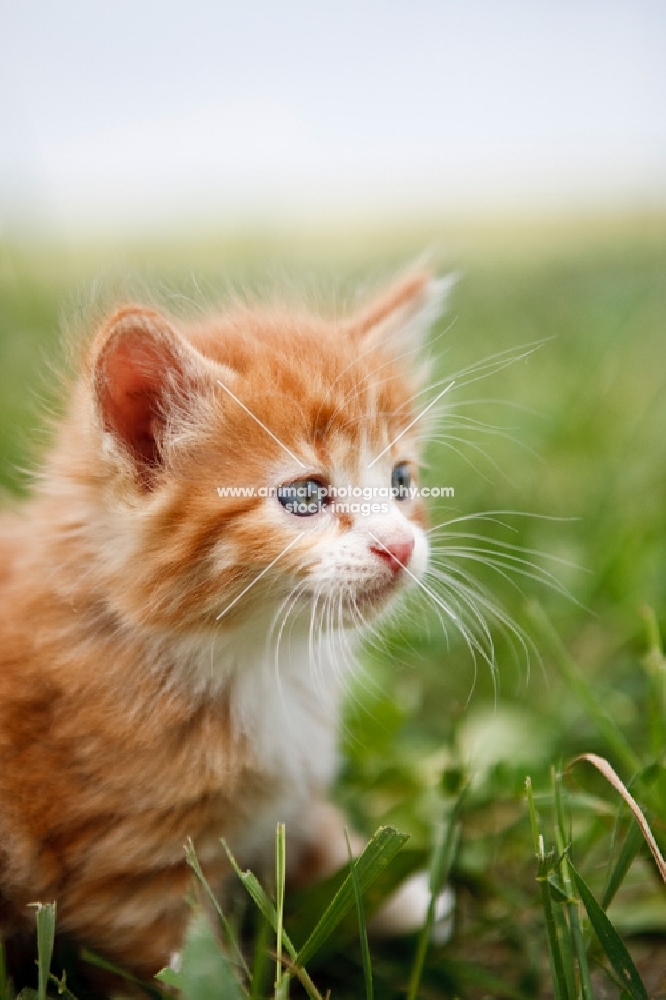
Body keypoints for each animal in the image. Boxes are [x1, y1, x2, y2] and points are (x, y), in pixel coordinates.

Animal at [0, 270, 452, 980]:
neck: (255, 658)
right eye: (304, 497)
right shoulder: (131, 874)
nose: (400, 546)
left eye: (402, 480)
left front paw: (388, 890)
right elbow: (189, 965)